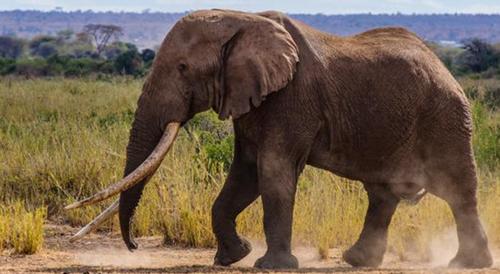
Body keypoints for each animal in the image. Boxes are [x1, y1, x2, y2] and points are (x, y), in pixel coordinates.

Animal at [66, 9, 492, 270]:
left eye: (183, 67)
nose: (134, 247)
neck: (240, 20)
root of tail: (445, 67)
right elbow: (245, 174)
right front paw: (232, 257)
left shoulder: (292, 98)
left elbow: (272, 172)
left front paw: (270, 266)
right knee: (382, 194)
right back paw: (358, 261)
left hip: (446, 118)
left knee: (458, 190)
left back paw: (467, 265)